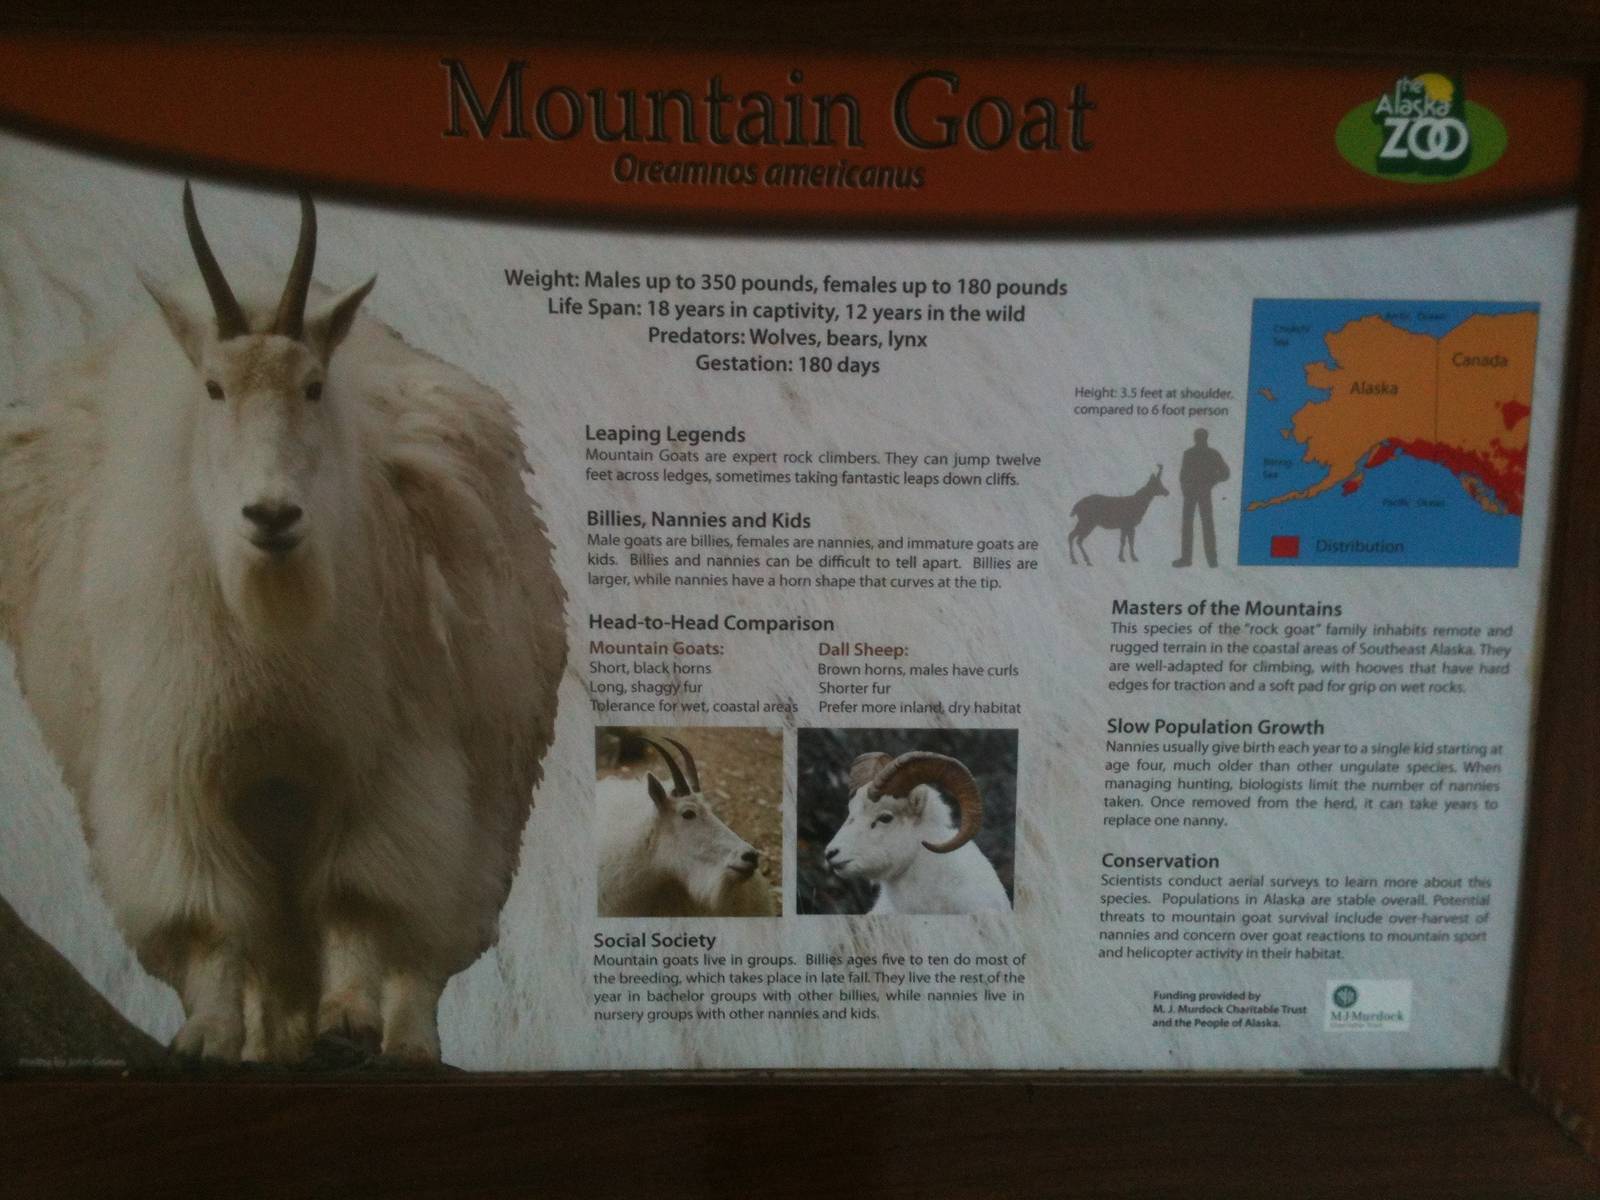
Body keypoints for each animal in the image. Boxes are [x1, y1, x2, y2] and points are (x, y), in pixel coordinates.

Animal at [0, 185, 566, 1065]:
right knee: (271, 950)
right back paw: (268, 1044)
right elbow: (210, 923)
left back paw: (405, 1044)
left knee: (427, 942)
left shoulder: (384, 766)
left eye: (313, 386)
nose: (272, 516)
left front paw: (351, 1020)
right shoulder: (179, 773)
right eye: (212, 388)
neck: (271, 630)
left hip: (485, 799)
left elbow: (360, 902)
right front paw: (207, 1035)